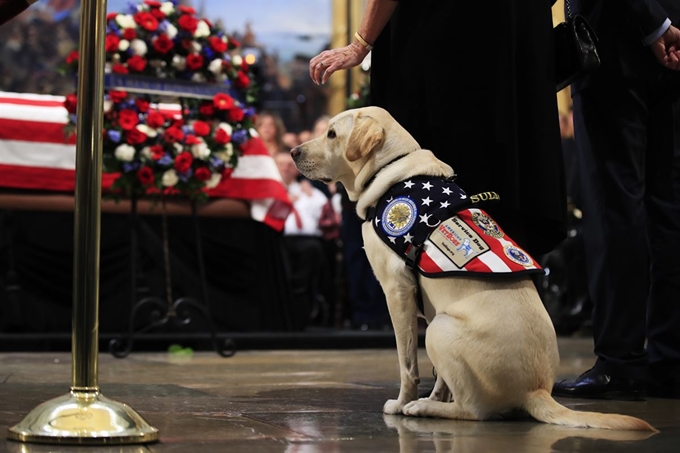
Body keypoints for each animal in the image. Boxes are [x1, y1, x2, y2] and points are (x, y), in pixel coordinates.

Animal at [290, 107, 652, 430]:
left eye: (331, 134)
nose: (293, 152)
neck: (393, 170)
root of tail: (537, 390)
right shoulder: (426, 303)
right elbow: (439, 378)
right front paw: (434, 395)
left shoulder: (397, 290)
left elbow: (407, 364)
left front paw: (403, 401)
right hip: (440, 322)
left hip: (441, 329)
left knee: (474, 412)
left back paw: (423, 408)